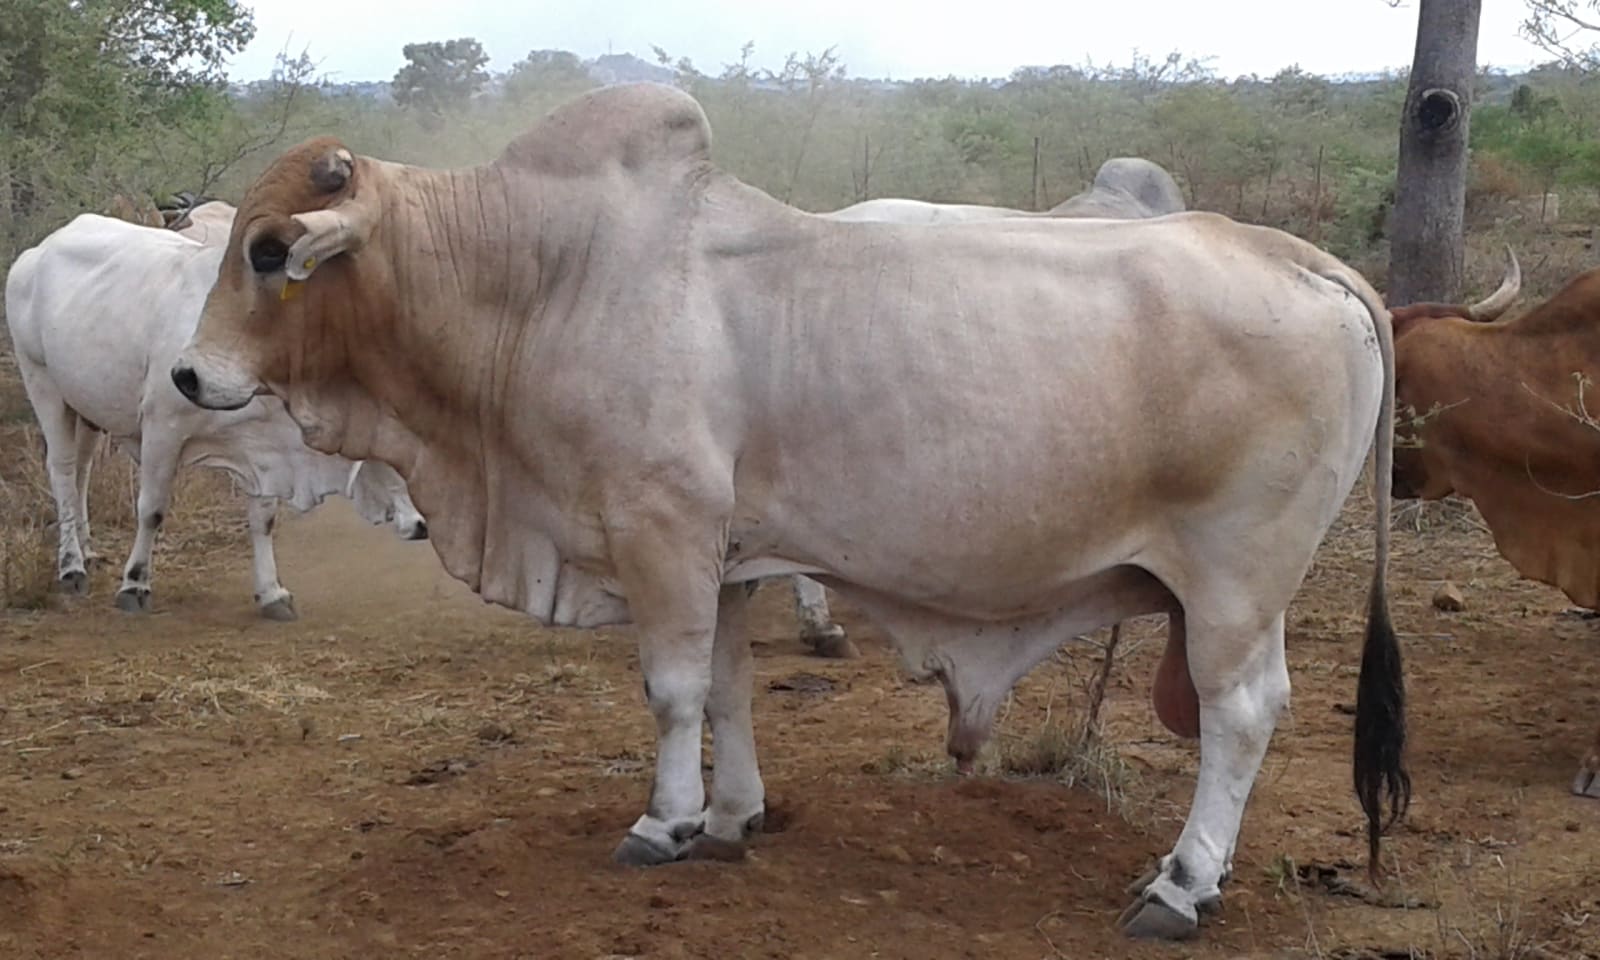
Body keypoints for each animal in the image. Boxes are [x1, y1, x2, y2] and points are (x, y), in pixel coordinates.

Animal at [4, 213, 429, 620]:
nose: (424, 526)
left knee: (82, 471)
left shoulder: (260, 446)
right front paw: (135, 585)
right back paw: (71, 566)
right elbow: (151, 511)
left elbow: (264, 518)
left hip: (86, 405)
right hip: (41, 381)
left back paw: (88, 551)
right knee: (62, 470)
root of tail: (39, 250)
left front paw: (272, 593)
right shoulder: (162, 427)